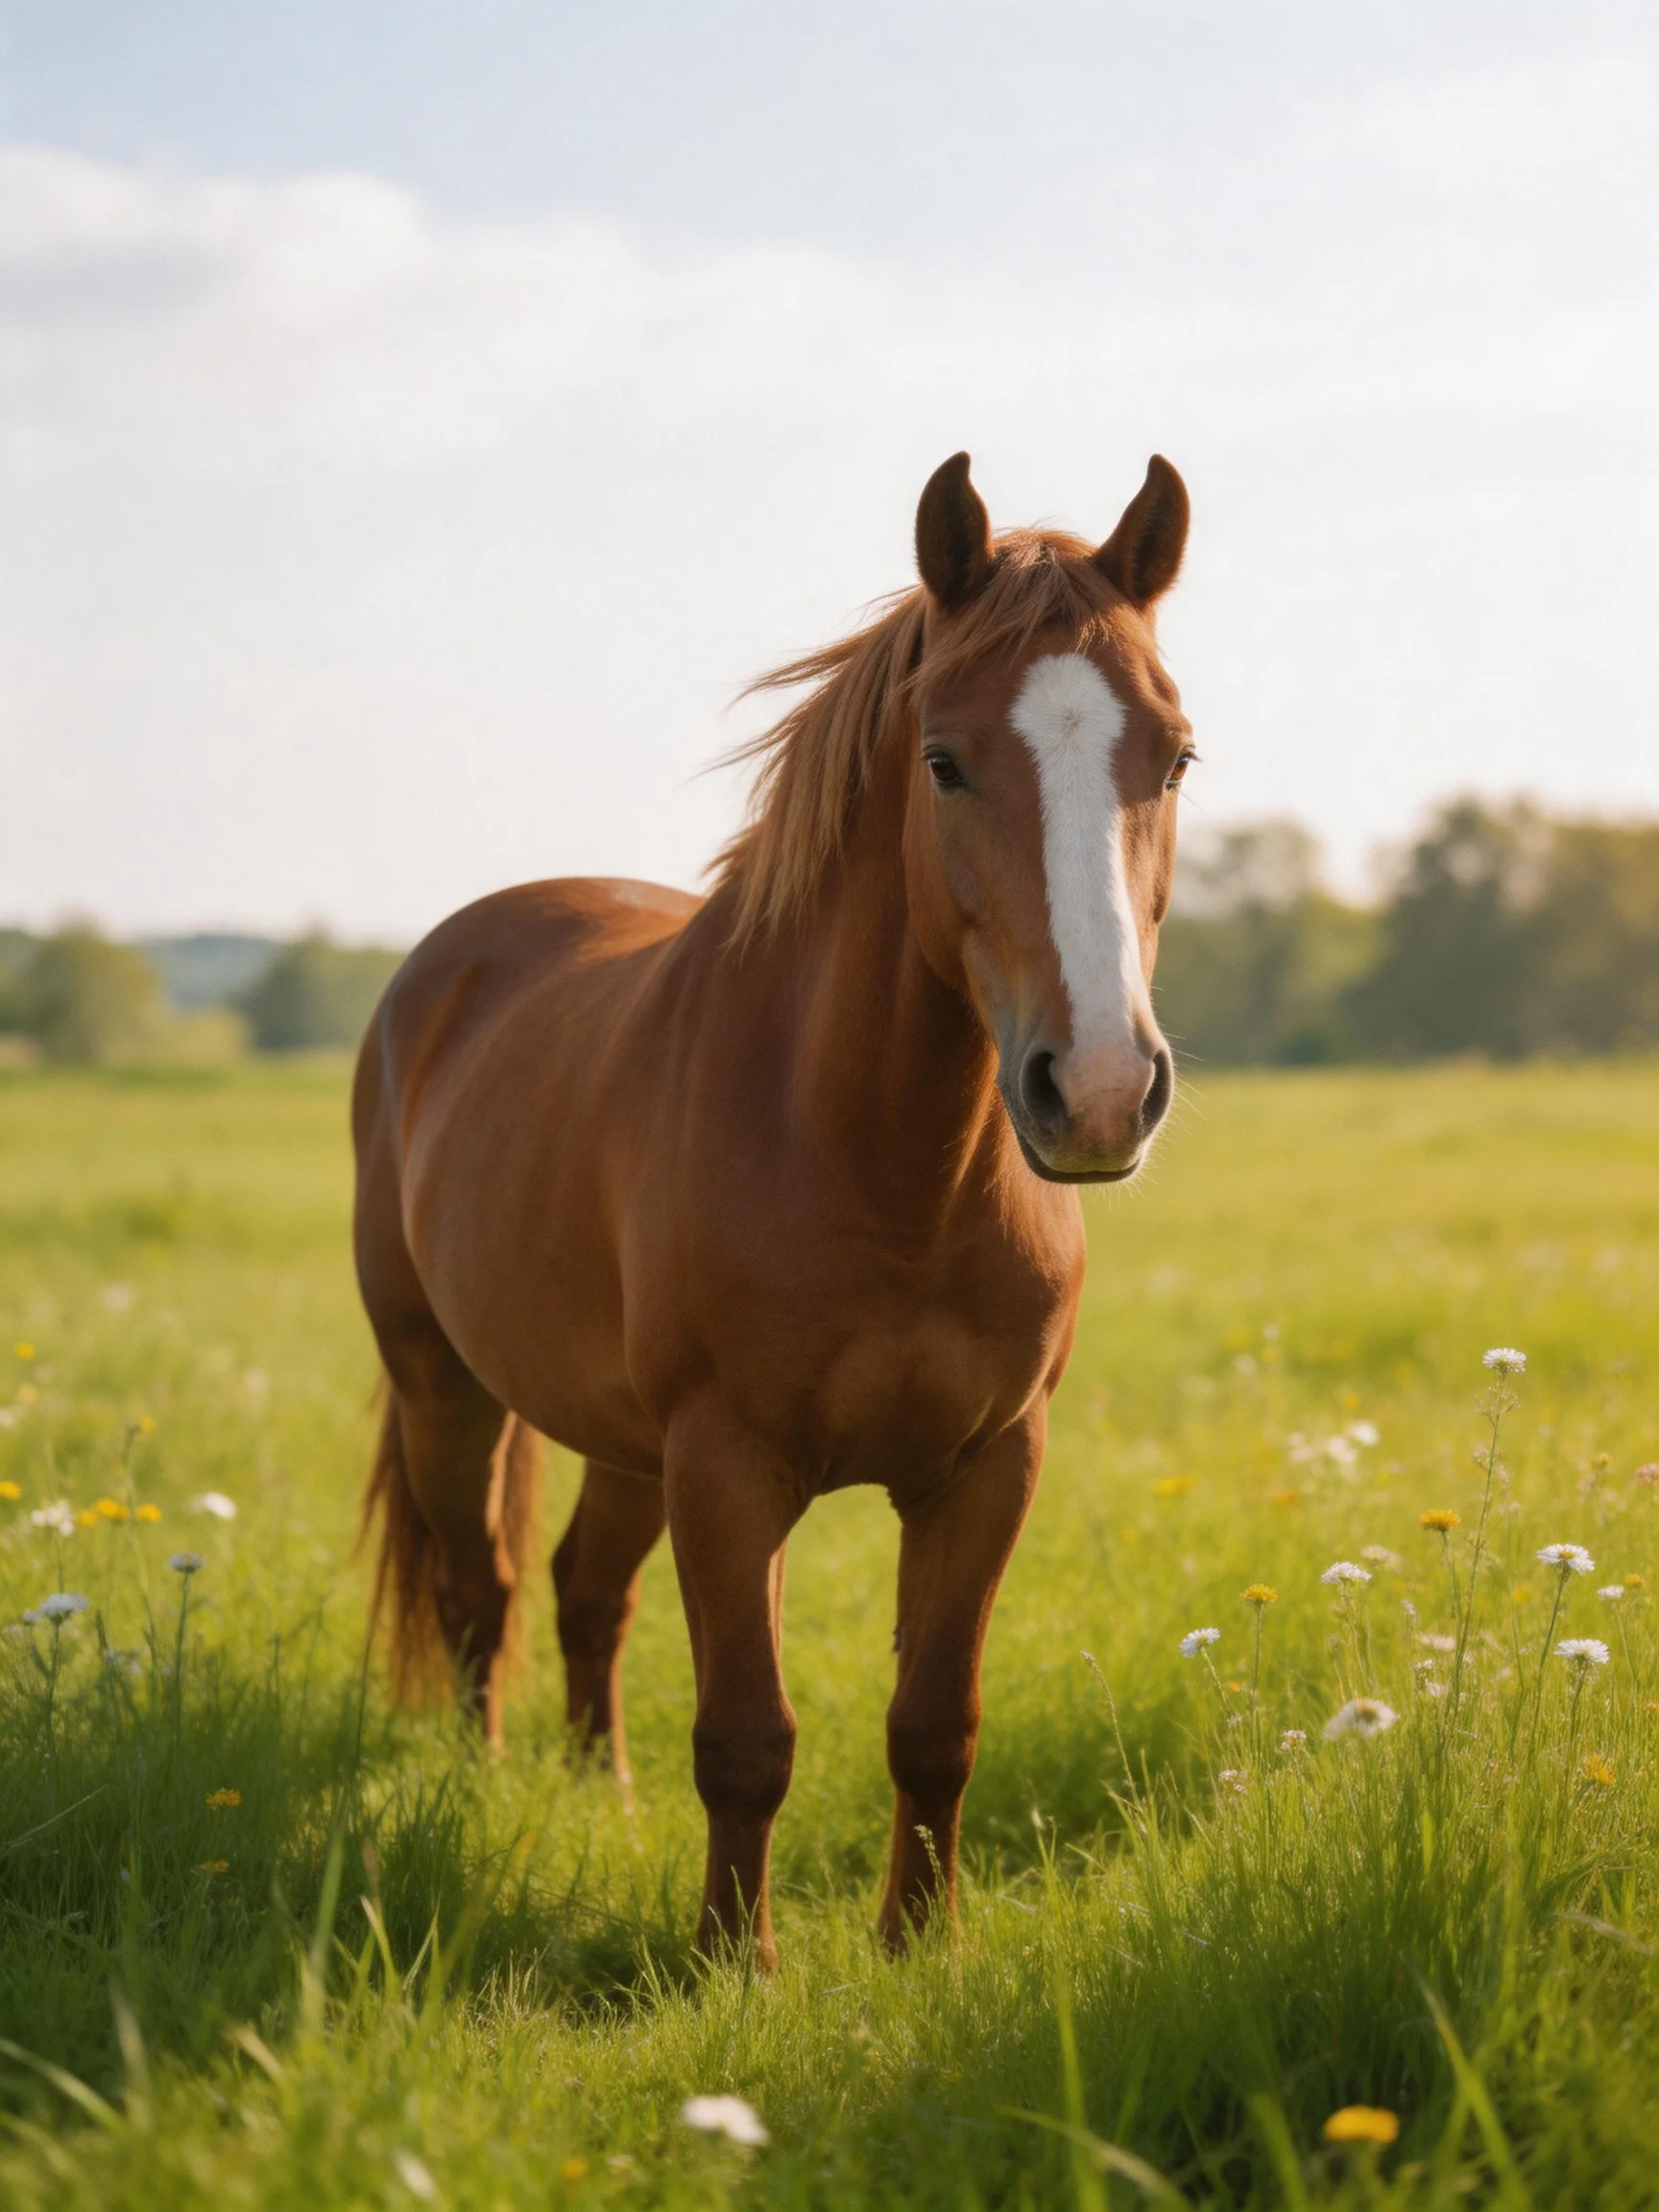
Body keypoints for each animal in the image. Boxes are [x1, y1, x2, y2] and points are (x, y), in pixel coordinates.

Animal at [353, 449, 1194, 1966]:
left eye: (1172, 756)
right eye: (944, 760)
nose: (1100, 1090)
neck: (883, 1173)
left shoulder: (989, 1467)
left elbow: (935, 1725)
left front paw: (920, 1944)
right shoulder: (731, 1468)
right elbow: (748, 1737)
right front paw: (728, 1964)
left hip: (624, 1444)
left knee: (584, 1590)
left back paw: (600, 1794)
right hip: (445, 1381)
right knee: (478, 1588)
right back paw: (481, 1777)